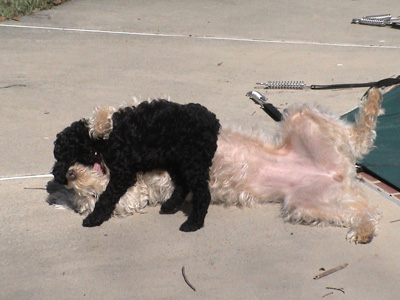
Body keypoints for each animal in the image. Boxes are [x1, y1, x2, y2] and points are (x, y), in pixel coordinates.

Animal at [51, 99, 220, 231]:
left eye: (66, 156)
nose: (60, 175)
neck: (102, 145)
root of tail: (212, 120)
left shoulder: (122, 173)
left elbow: (106, 196)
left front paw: (94, 218)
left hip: (192, 163)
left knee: (202, 194)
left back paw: (193, 223)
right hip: (176, 162)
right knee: (183, 185)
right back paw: (170, 205)